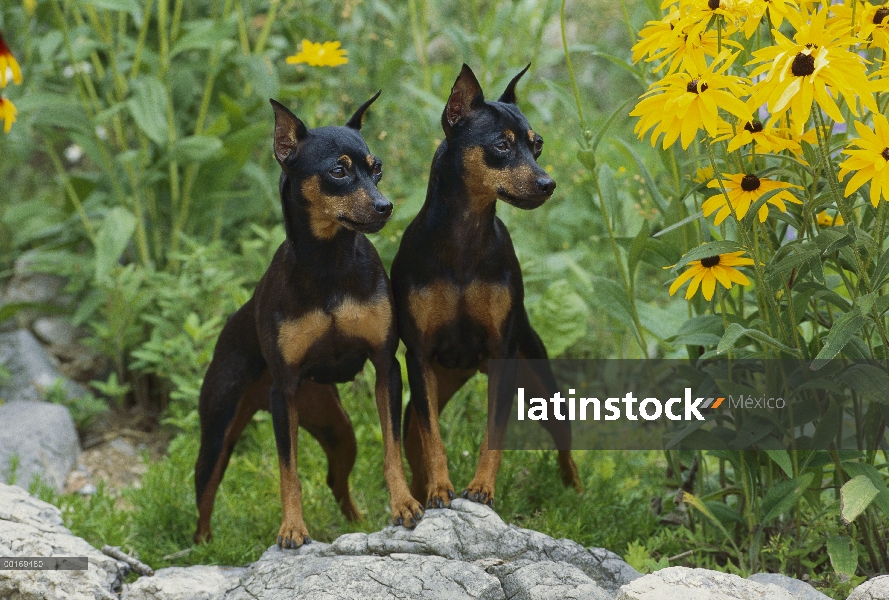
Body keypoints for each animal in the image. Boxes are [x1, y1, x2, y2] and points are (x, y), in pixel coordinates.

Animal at [197, 94, 424, 548]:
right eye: (338, 171)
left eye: (376, 167)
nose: (385, 206)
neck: (328, 266)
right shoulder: (283, 394)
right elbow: (290, 472)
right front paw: (292, 528)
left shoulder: (385, 368)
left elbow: (391, 450)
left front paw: (404, 504)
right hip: (217, 436)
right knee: (204, 499)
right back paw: (201, 549)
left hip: (338, 431)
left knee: (337, 481)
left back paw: (357, 521)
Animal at [392, 65, 580, 510]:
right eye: (501, 145)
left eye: (537, 145)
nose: (547, 183)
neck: (465, 239)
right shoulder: (418, 357)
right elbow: (434, 440)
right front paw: (441, 491)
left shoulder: (502, 353)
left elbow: (493, 433)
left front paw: (481, 489)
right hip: (422, 399)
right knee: (417, 445)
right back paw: (423, 494)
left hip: (541, 384)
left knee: (564, 440)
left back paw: (575, 492)